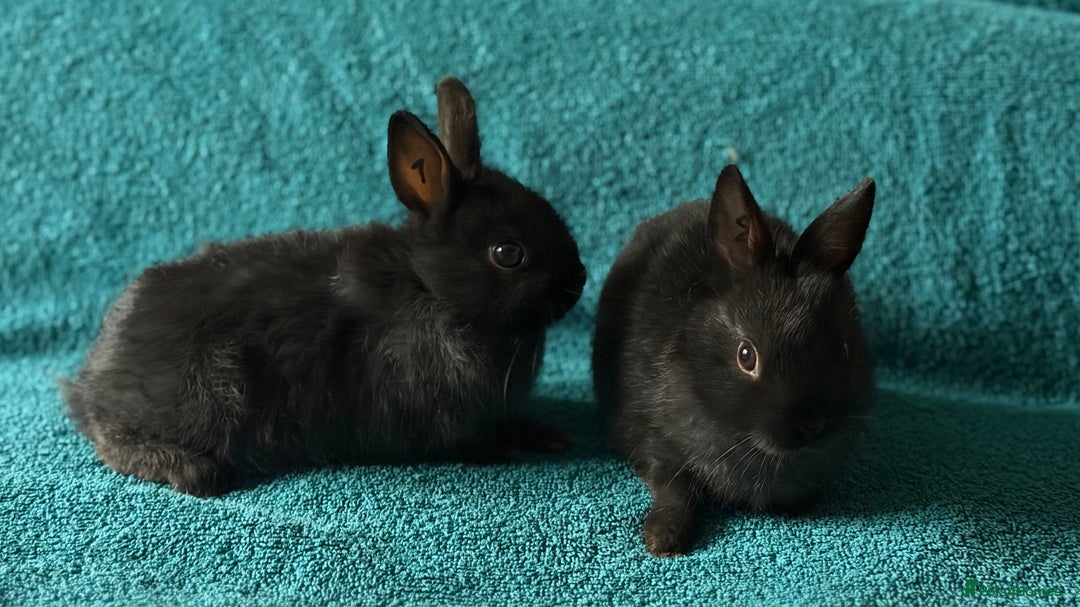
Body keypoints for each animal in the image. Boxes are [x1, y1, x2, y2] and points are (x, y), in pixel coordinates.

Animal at [62, 77, 587, 497]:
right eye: (508, 254)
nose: (579, 281)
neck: (430, 290)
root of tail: (92, 381)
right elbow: (481, 439)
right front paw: (525, 440)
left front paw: (548, 433)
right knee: (113, 439)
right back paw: (192, 471)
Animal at [593, 164, 875, 556]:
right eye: (746, 356)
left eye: (844, 349)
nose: (812, 426)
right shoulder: (650, 436)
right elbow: (674, 487)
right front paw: (664, 538)